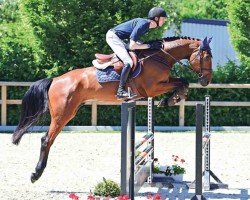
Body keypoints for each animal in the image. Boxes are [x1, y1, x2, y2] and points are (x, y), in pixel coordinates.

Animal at [12, 36, 213, 183]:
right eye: (207, 57)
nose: (206, 81)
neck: (160, 57)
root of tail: (55, 80)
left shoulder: (162, 83)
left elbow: (182, 81)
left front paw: (172, 99)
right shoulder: (153, 88)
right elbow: (181, 82)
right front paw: (171, 99)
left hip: (70, 111)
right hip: (63, 115)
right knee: (46, 139)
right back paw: (36, 174)